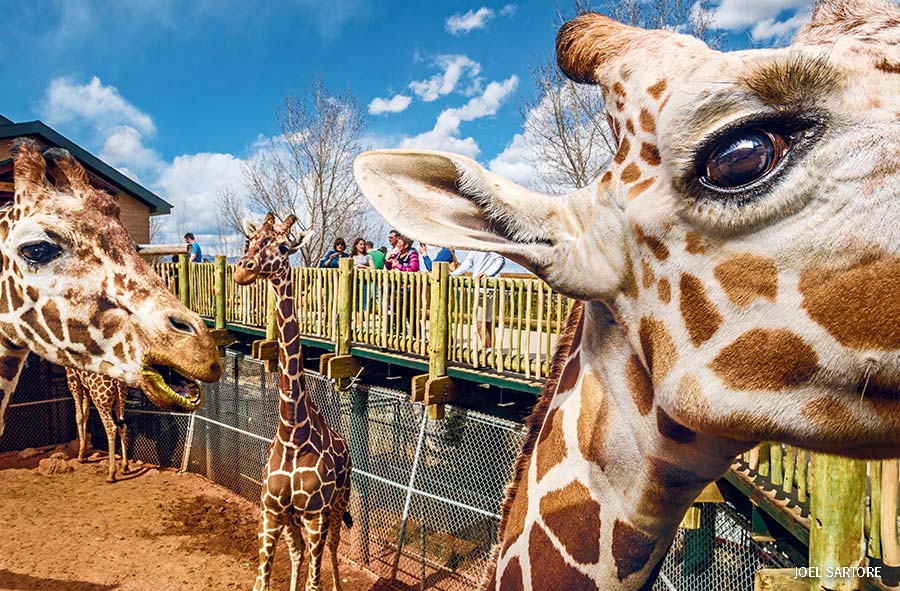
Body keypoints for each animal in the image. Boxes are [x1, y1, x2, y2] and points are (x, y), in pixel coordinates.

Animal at [234, 213, 352, 591]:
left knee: (332, 548)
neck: (292, 433)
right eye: (251, 240)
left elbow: (315, 581)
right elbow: (261, 581)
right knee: (298, 551)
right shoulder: (271, 511)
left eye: (284, 247)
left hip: (337, 503)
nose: (244, 270)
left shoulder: (315, 514)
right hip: (292, 518)